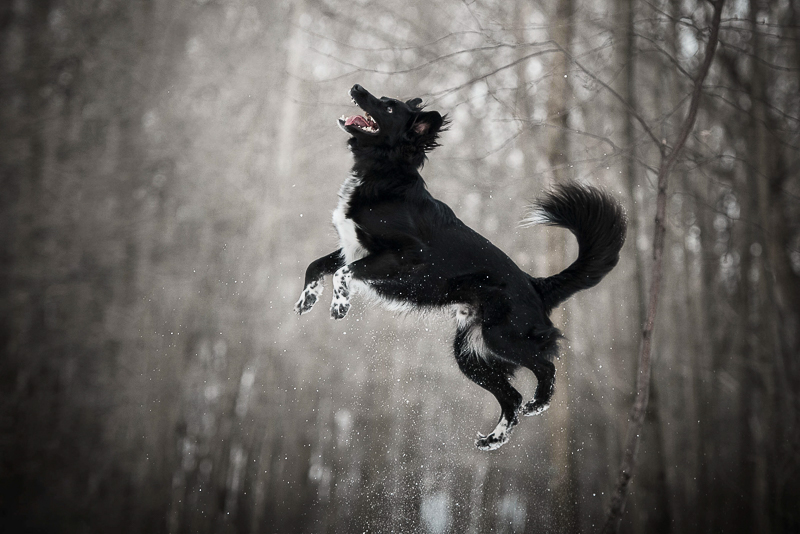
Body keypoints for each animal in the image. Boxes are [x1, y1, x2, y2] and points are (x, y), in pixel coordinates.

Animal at [296, 85, 628, 452]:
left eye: (387, 106)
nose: (357, 87)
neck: (384, 174)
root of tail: (536, 284)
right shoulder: (353, 248)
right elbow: (317, 265)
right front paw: (307, 298)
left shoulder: (407, 254)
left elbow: (344, 272)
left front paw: (339, 304)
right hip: (470, 352)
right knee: (511, 397)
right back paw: (494, 440)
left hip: (504, 337)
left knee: (546, 367)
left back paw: (539, 403)